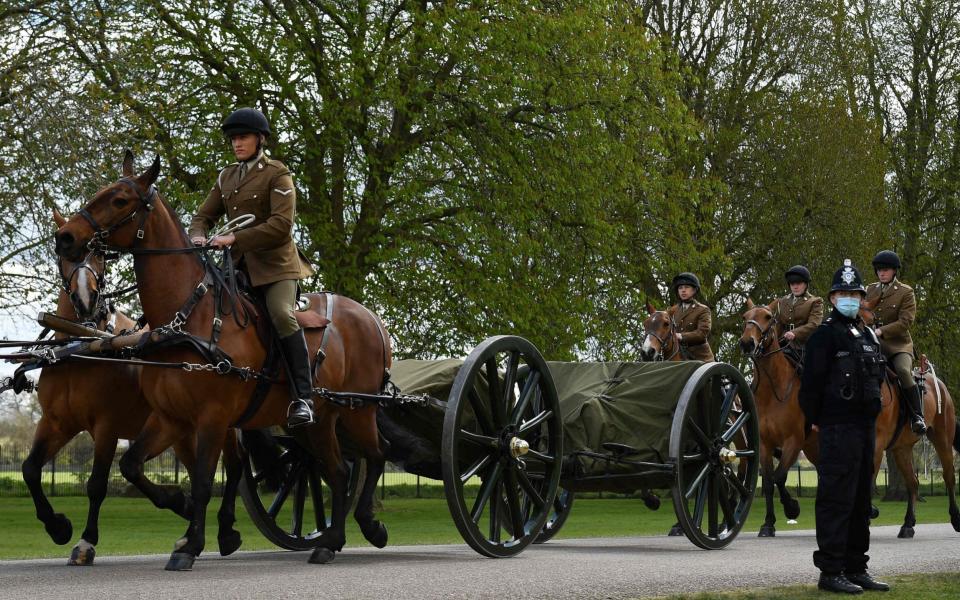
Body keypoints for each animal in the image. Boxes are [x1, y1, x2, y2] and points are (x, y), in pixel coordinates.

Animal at [23, 210, 244, 564]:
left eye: (100, 255)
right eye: (63, 254)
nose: (86, 300)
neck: (83, 346)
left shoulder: (107, 426)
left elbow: (97, 484)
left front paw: (86, 542)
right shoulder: (57, 422)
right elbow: (30, 470)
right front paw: (58, 527)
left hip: (218, 422)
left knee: (234, 468)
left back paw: (223, 530)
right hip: (182, 430)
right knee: (199, 470)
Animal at [51, 152, 390, 568]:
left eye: (119, 200)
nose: (65, 237)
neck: (190, 316)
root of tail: (371, 318)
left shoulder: (212, 418)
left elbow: (201, 481)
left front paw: (191, 545)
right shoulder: (170, 417)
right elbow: (131, 464)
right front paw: (178, 508)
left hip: (359, 409)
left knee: (375, 456)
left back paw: (366, 526)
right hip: (321, 420)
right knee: (340, 470)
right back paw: (331, 539)